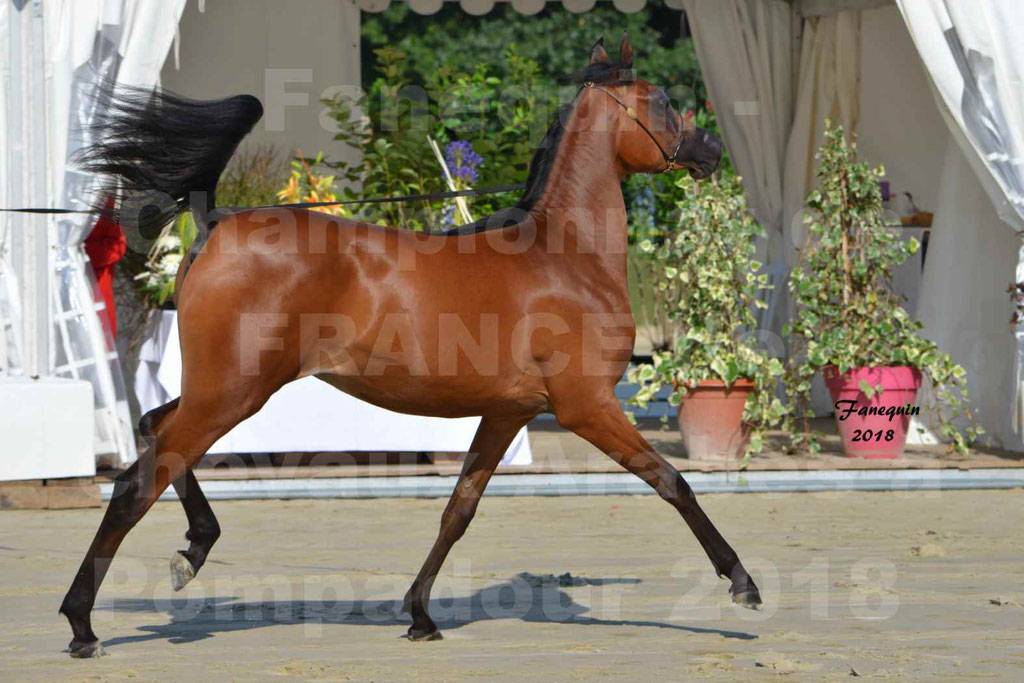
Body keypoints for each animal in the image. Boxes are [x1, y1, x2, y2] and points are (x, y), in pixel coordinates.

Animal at [58, 36, 761, 655]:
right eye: (663, 100)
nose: (711, 152)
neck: (564, 257)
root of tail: (214, 221)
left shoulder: (508, 412)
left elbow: (458, 511)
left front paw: (420, 615)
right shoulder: (586, 407)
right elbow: (672, 481)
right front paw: (742, 584)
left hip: (218, 390)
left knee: (153, 430)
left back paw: (192, 551)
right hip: (232, 394)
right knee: (138, 482)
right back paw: (83, 624)